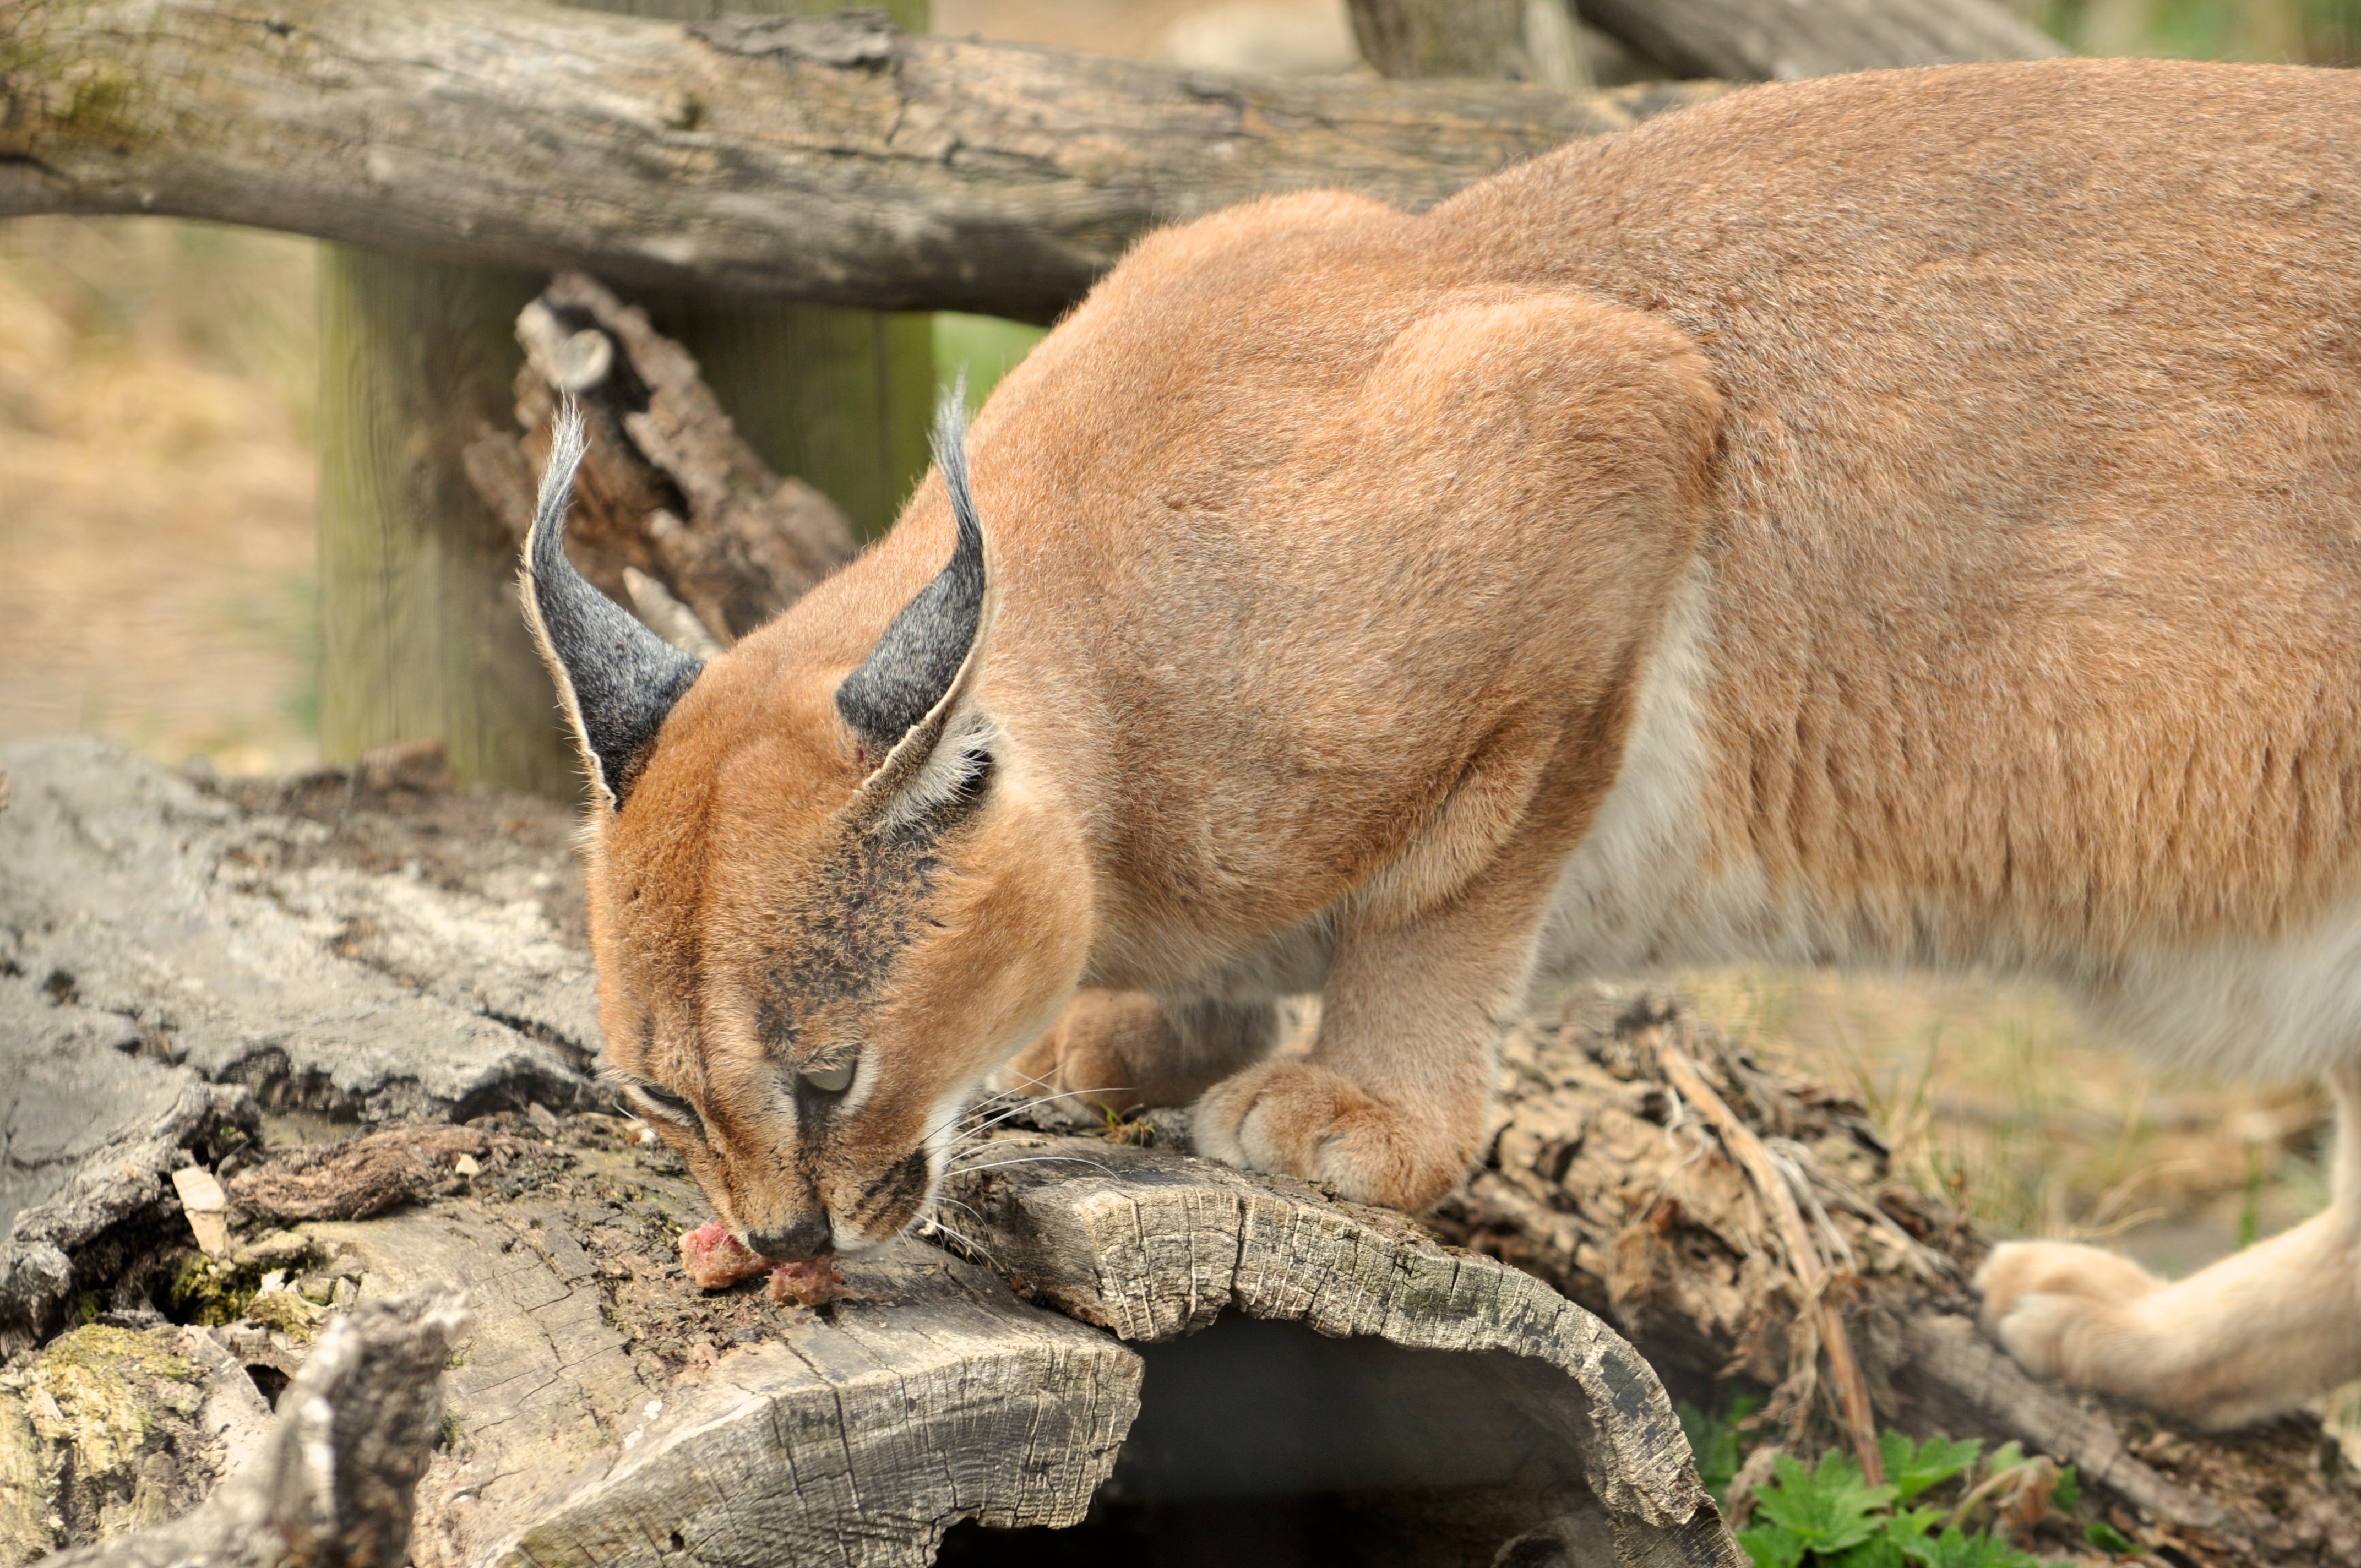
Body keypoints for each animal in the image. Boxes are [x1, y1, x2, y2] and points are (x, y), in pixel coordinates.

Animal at [531, 61, 2361, 1426]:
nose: (782, 1233)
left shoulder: (1610, 426)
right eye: (662, 1094)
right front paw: (1137, 1028)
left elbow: (1440, 899)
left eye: (827, 1075)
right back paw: (2139, 1344)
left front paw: (1366, 1108)